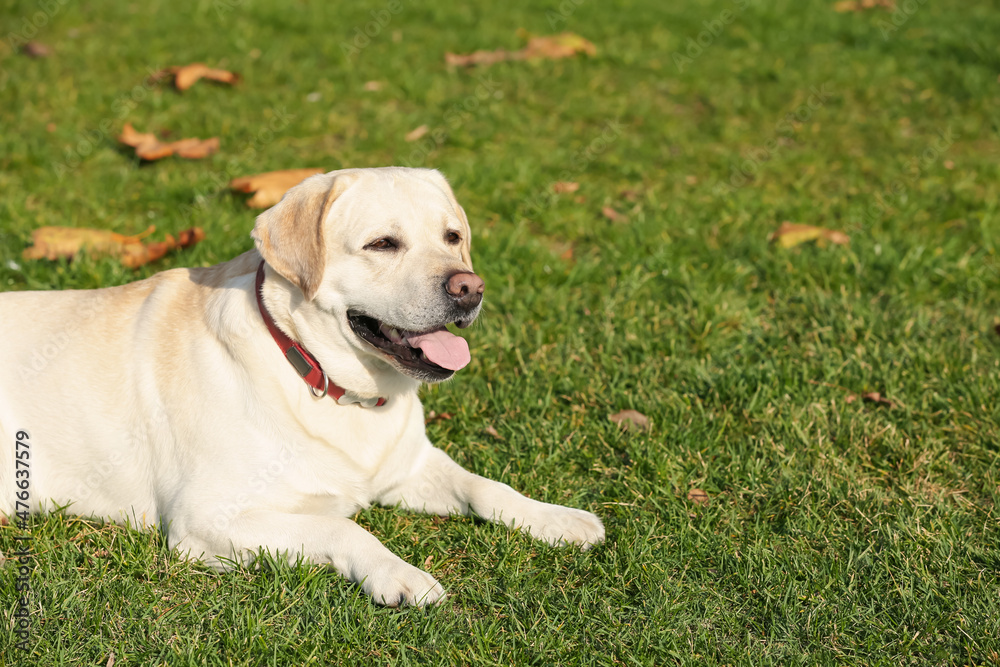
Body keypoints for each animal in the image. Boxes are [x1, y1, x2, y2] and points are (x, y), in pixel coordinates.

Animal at [0, 166, 600, 604]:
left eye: (453, 237)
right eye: (383, 244)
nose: (469, 288)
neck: (330, 381)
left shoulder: (410, 468)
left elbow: (487, 488)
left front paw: (558, 519)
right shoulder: (207, 519)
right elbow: (345, 530)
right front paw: (400, 575)